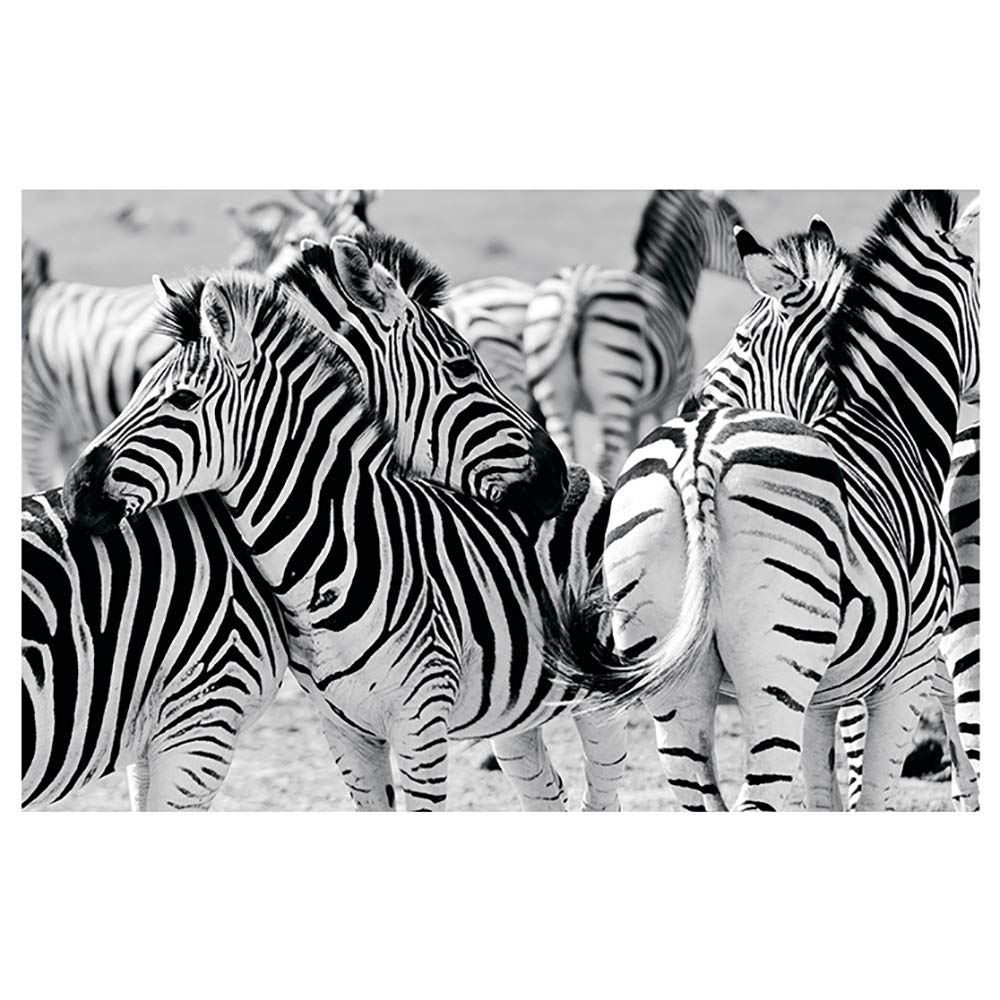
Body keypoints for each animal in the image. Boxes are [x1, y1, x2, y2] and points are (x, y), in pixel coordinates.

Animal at [522, 189, 746, 480]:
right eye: (735, 221)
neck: (667, 288)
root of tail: (579, 286)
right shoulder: (673, 394)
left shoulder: (636, 411)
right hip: (614, 389)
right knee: (605, 457)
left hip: (554, 391)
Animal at [572, 192, 979, 811]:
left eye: (741, 339)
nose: (690, 400)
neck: (886, 420)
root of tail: (700, 452)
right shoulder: (902, 673)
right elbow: (871, 797)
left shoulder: (825, 697)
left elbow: (825, 797)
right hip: (777, 669)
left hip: (670, 671)